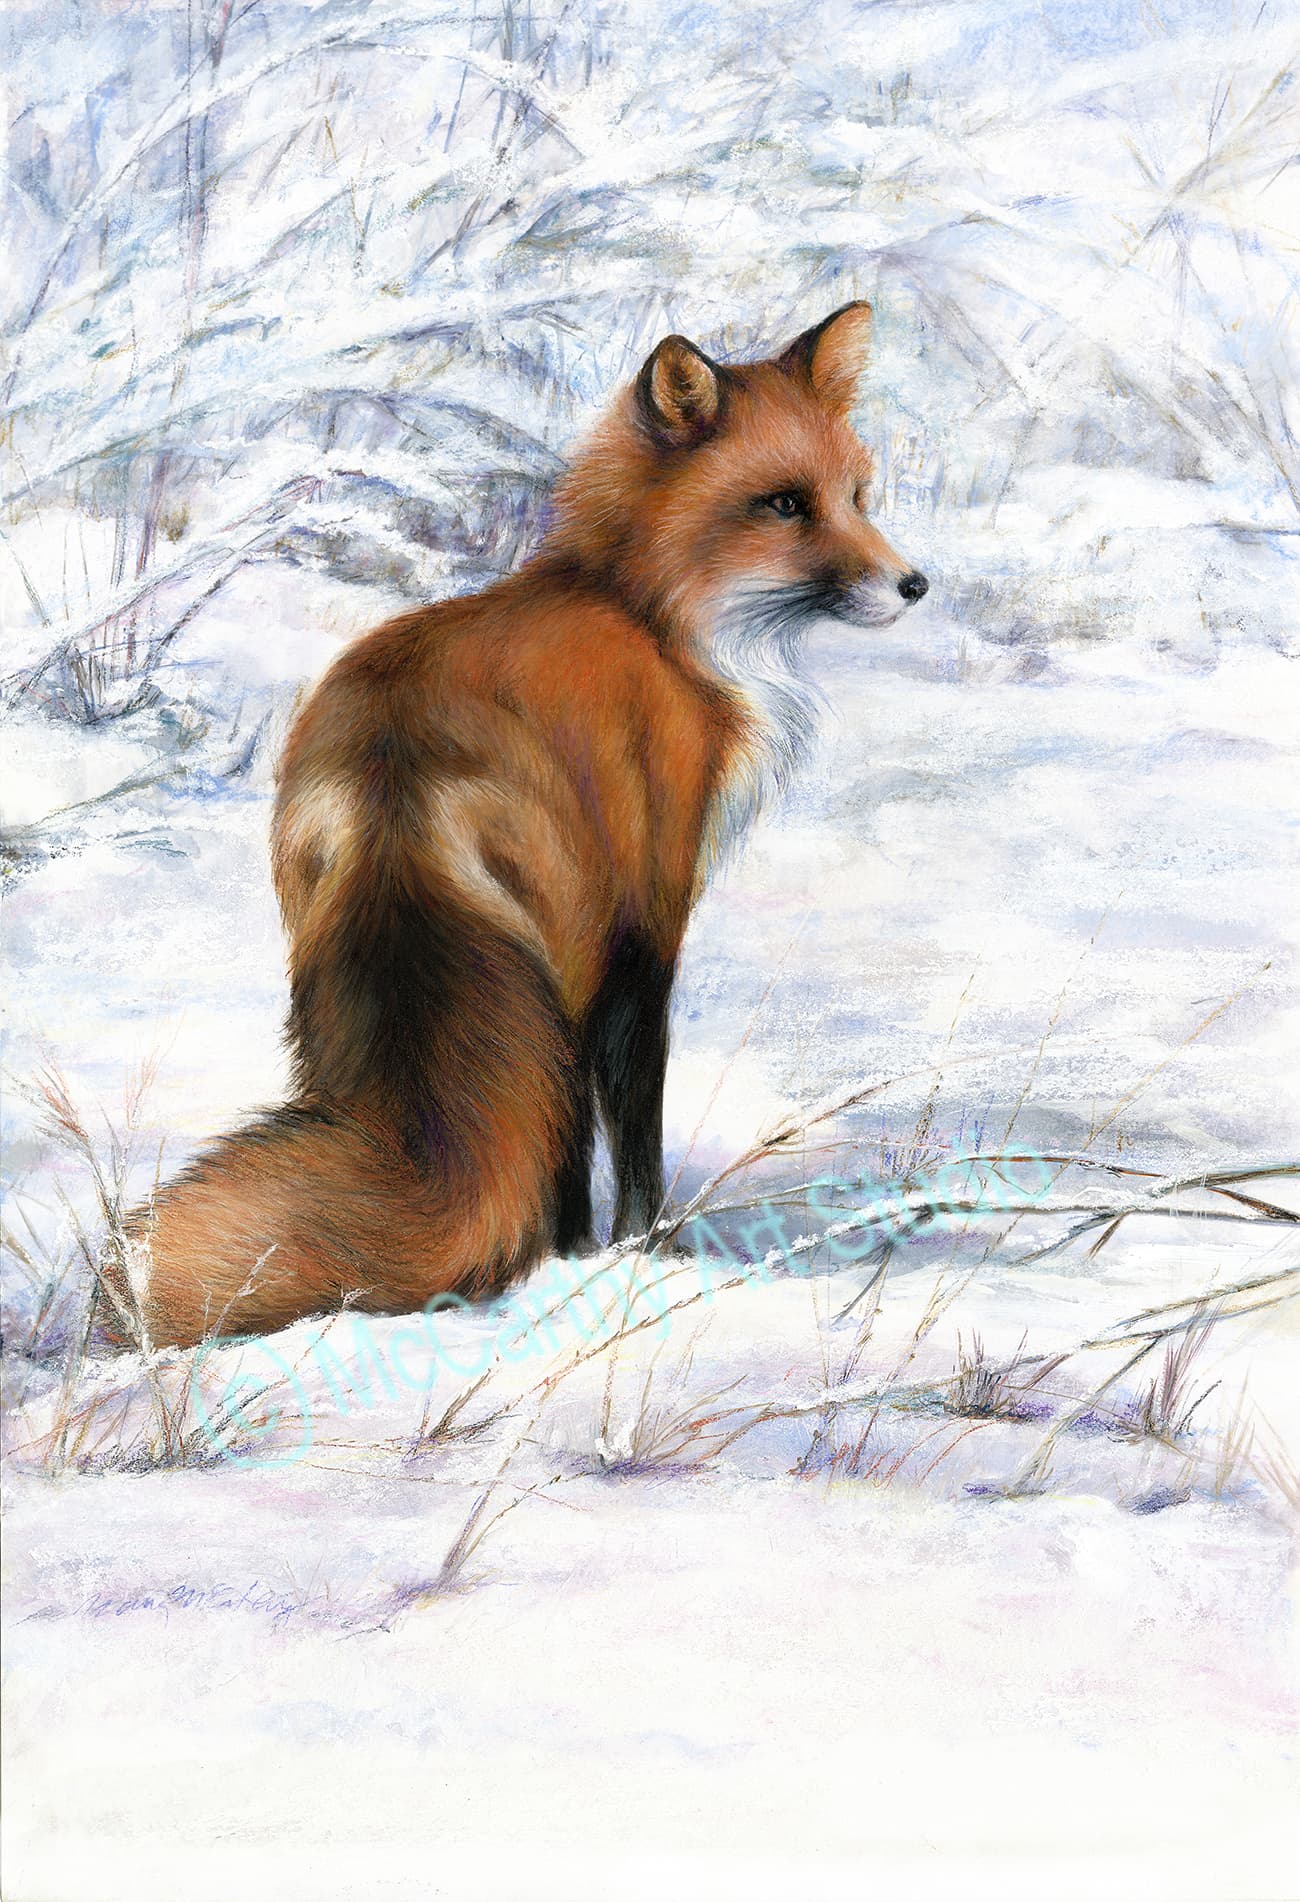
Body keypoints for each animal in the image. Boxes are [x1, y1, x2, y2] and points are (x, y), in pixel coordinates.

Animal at [127, 301, 928, 1347]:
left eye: (857, 496)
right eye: (787, 504)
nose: (914, 585)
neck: (649, 617)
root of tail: (399, 768)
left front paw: (592, 1254)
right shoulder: (646, 919)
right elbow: (633, 1122)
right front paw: (641, 1252)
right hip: (567, 950)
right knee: (570, 1114)